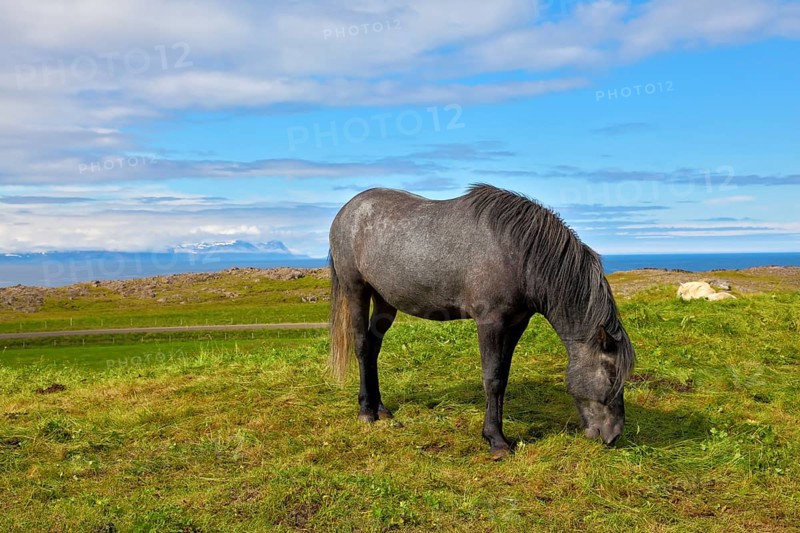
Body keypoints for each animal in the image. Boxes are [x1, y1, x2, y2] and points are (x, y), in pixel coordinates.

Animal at [328, 184, 635, 457]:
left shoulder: (516, 323)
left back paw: (380, 407)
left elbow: (503, 377)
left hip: (384, 301)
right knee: (362, 346)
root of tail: (347, 210)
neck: (520, 253)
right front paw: (496, 441)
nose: (613, 435)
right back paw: (366, 411)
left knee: (374, 348)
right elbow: (493, 379)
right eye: (611, 374)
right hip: (356, 291)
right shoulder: (490, 323)